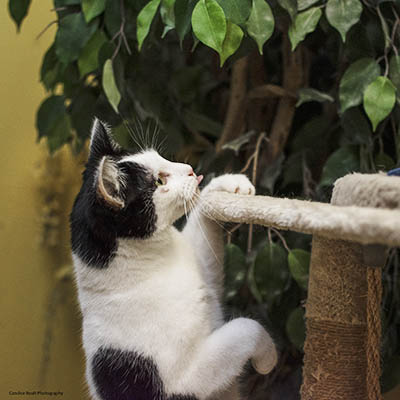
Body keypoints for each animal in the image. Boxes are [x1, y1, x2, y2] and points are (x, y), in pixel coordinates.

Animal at [70, 119, 276, 400]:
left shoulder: (205, 274)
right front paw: (268, 360)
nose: (189, 170)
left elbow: (201, 215)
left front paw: (231, 183)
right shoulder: (182, 383)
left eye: (159, 156)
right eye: (158, 181)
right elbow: (246, 327)